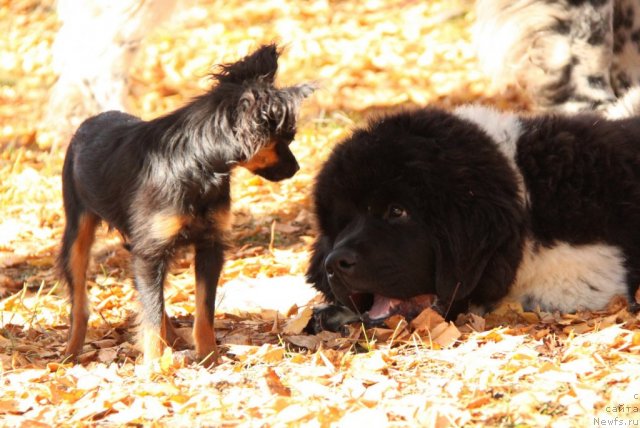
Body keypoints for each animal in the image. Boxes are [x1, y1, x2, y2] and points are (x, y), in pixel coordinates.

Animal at [58, 44, 314, 364]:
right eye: (285, 138)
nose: (296, 168)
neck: (197, 165)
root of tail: (90, 121)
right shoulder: (151, 252)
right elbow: (152, 315)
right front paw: (154, 366)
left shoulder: (209, 245)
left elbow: (203, 311)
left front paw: (209, 357)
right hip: (78, 234)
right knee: (80, 301)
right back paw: (71, 352)